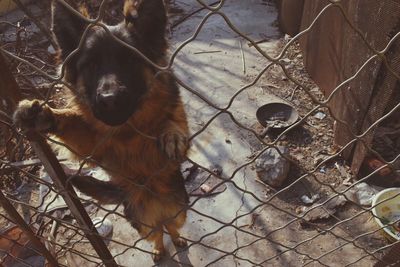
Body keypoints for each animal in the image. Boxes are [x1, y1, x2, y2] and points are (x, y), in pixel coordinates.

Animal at [13, 0, 191, 262]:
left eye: (129, 60)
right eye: (91, 65)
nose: (110, 99)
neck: (127, 131)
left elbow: (171, 121)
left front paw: (172, 134)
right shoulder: (95, 145)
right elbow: (72, 123)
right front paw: (44, 115)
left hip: (179, 212)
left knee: (172, 226)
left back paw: (177, 238)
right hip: (144, 225)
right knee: (158, 233)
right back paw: (158, 248)